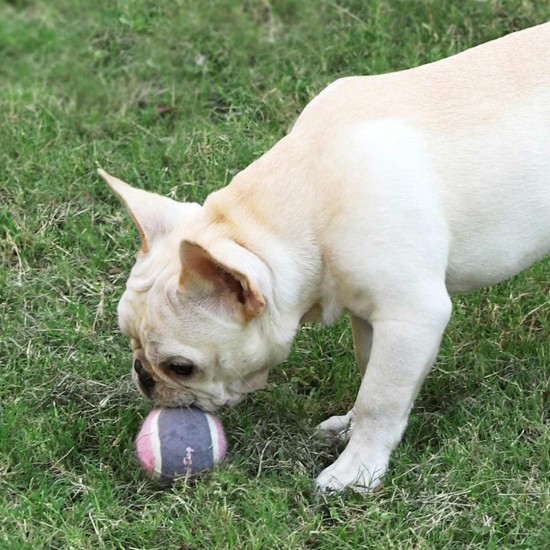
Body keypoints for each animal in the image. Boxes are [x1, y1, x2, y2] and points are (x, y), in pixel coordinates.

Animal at [99, 22, 550, 496]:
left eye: (181, 368)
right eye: (128, 338)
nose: (143, 375)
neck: (303, 199)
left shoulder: (411, 317)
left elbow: (380, 397)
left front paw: (357, 470)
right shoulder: (372, 318)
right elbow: (372, 372)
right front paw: (350, 428)